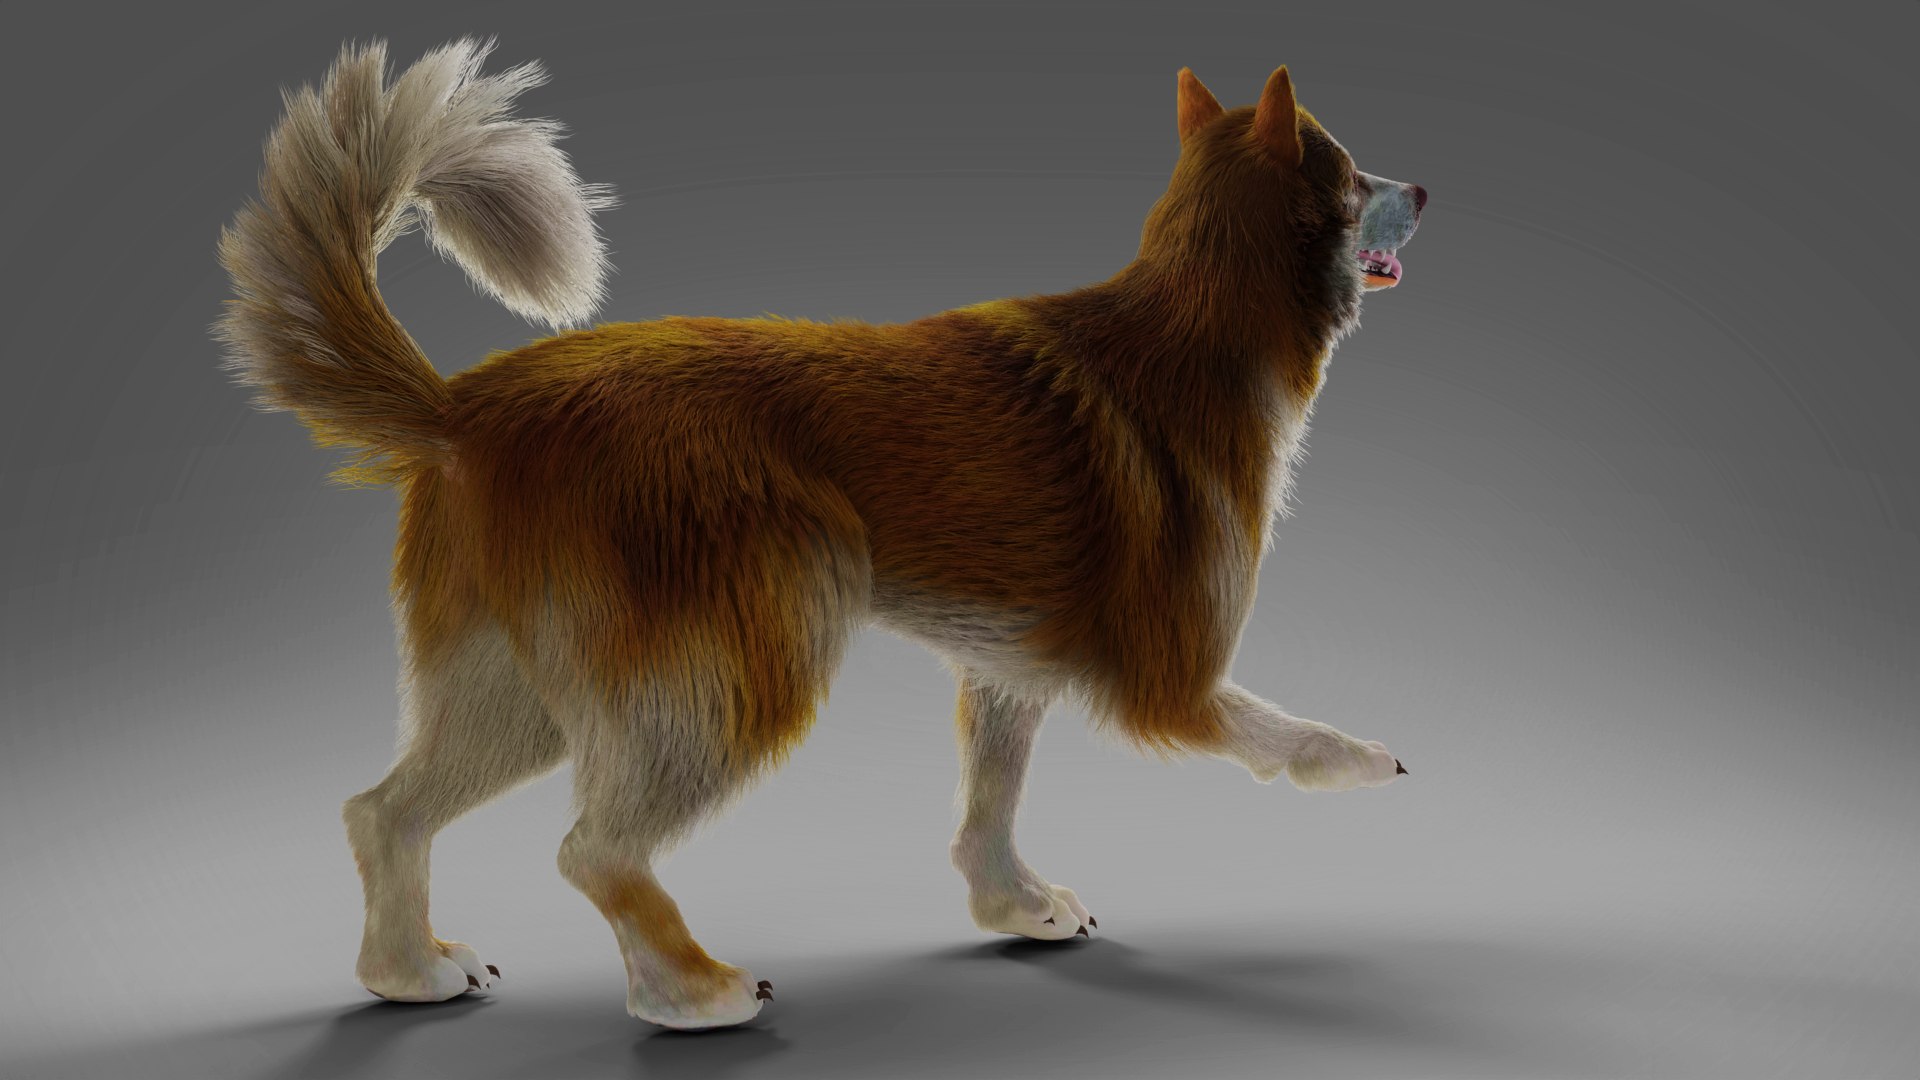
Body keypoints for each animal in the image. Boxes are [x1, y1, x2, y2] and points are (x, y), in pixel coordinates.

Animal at [214, 37, 1425, 1030]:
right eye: (1352, 172)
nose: (1423, 185)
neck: (1202, 315)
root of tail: (463, 410)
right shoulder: (1168, 679)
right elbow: (1278, 733)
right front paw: (1366, 763)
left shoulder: (1009, 668)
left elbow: (988, 807)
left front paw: (1015, 906)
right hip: (749, 655)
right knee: (593, 847)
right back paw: (689, 992)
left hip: (517, 688)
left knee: (385, 812)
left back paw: (407, 973)